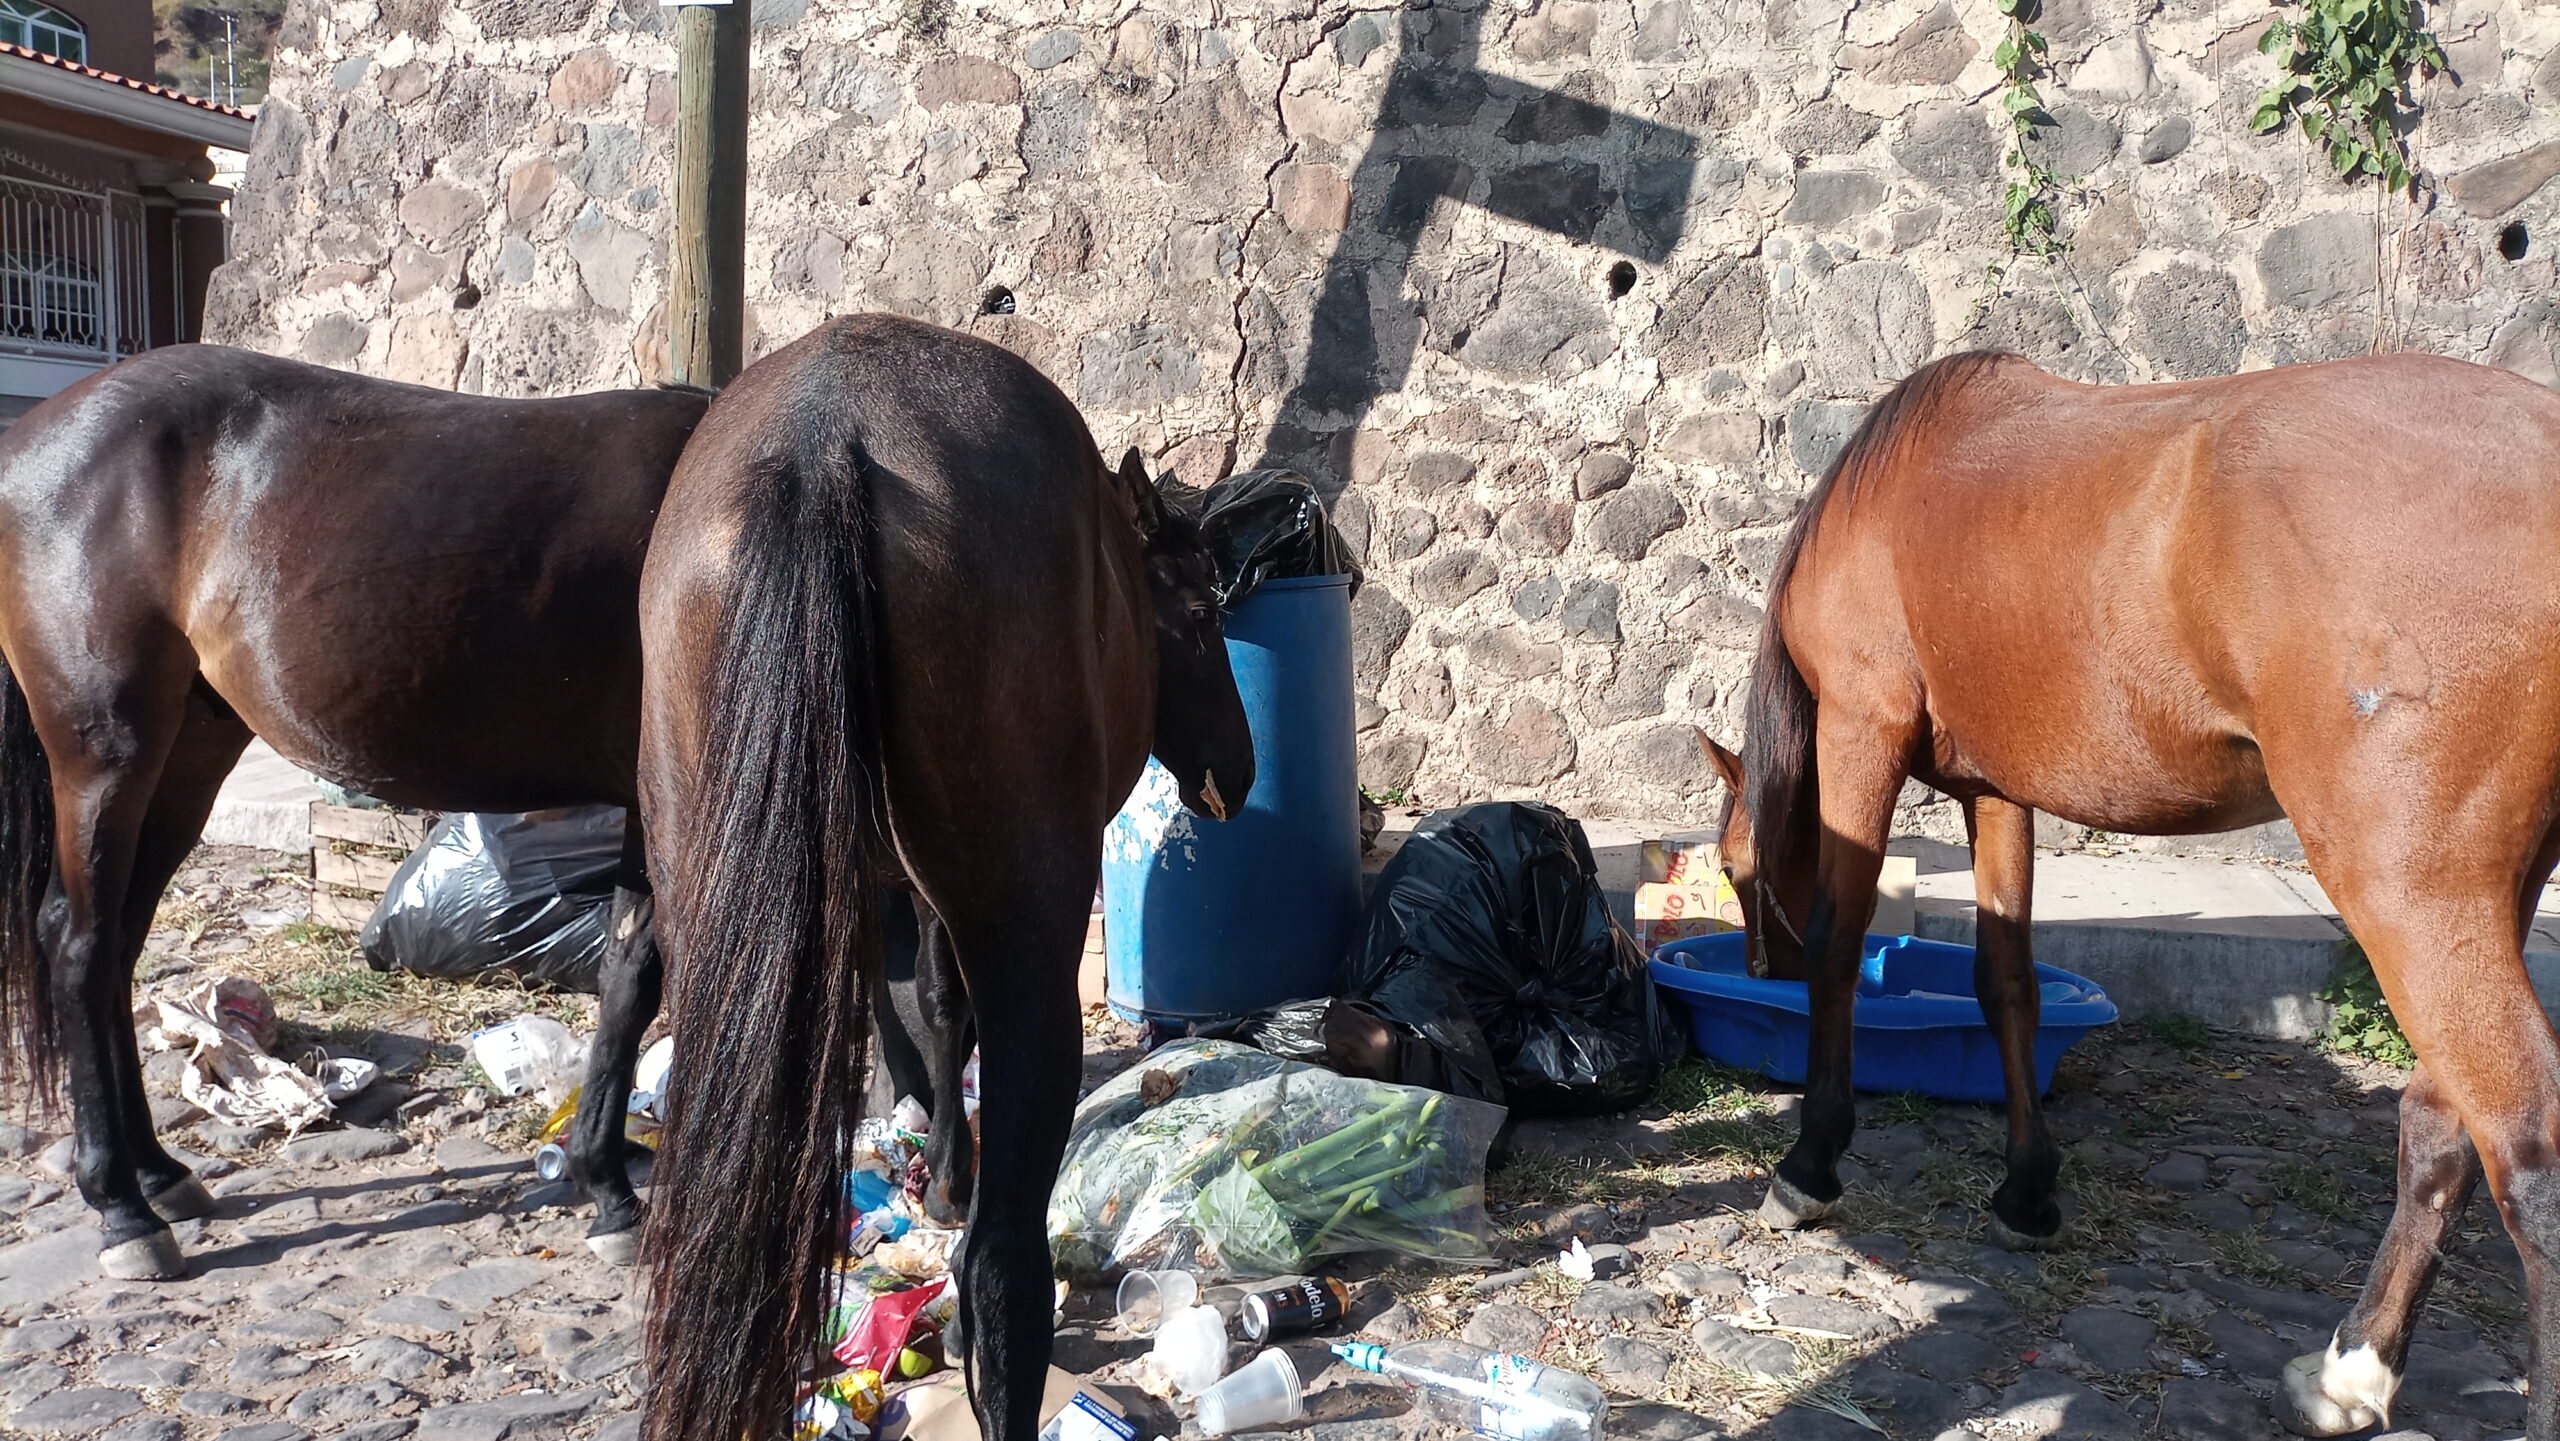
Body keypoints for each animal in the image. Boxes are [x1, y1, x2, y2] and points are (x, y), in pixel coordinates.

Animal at [0, 345, 711, 1274]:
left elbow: (631, 978)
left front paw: (608, 1180)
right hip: (103, 754)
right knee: (78, 946)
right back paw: (123, 1209)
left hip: (188, 749)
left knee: (117, 942)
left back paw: (160, 1173)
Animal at [629, 316, 1249, 1441]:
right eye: (1196, 609)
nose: (1238, 767)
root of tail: (824, 442)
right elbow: (945, 1005)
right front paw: (953, 1181)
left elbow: (918, 1001)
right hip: (1030, 939)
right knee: (1007, 1266)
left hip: (713, 938)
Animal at [1699, 353, 2560, 1441]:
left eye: (1735, 870)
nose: (1754, 968)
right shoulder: (1999, 791)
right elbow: (2006, 983)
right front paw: (2026, 1190)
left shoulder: (1862, 727)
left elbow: (1838, 947)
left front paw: (1810, 1162)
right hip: (2487, 899)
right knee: (2444, 1123)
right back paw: (2351, 1369)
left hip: (2412, 893)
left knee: (2525, 1144)